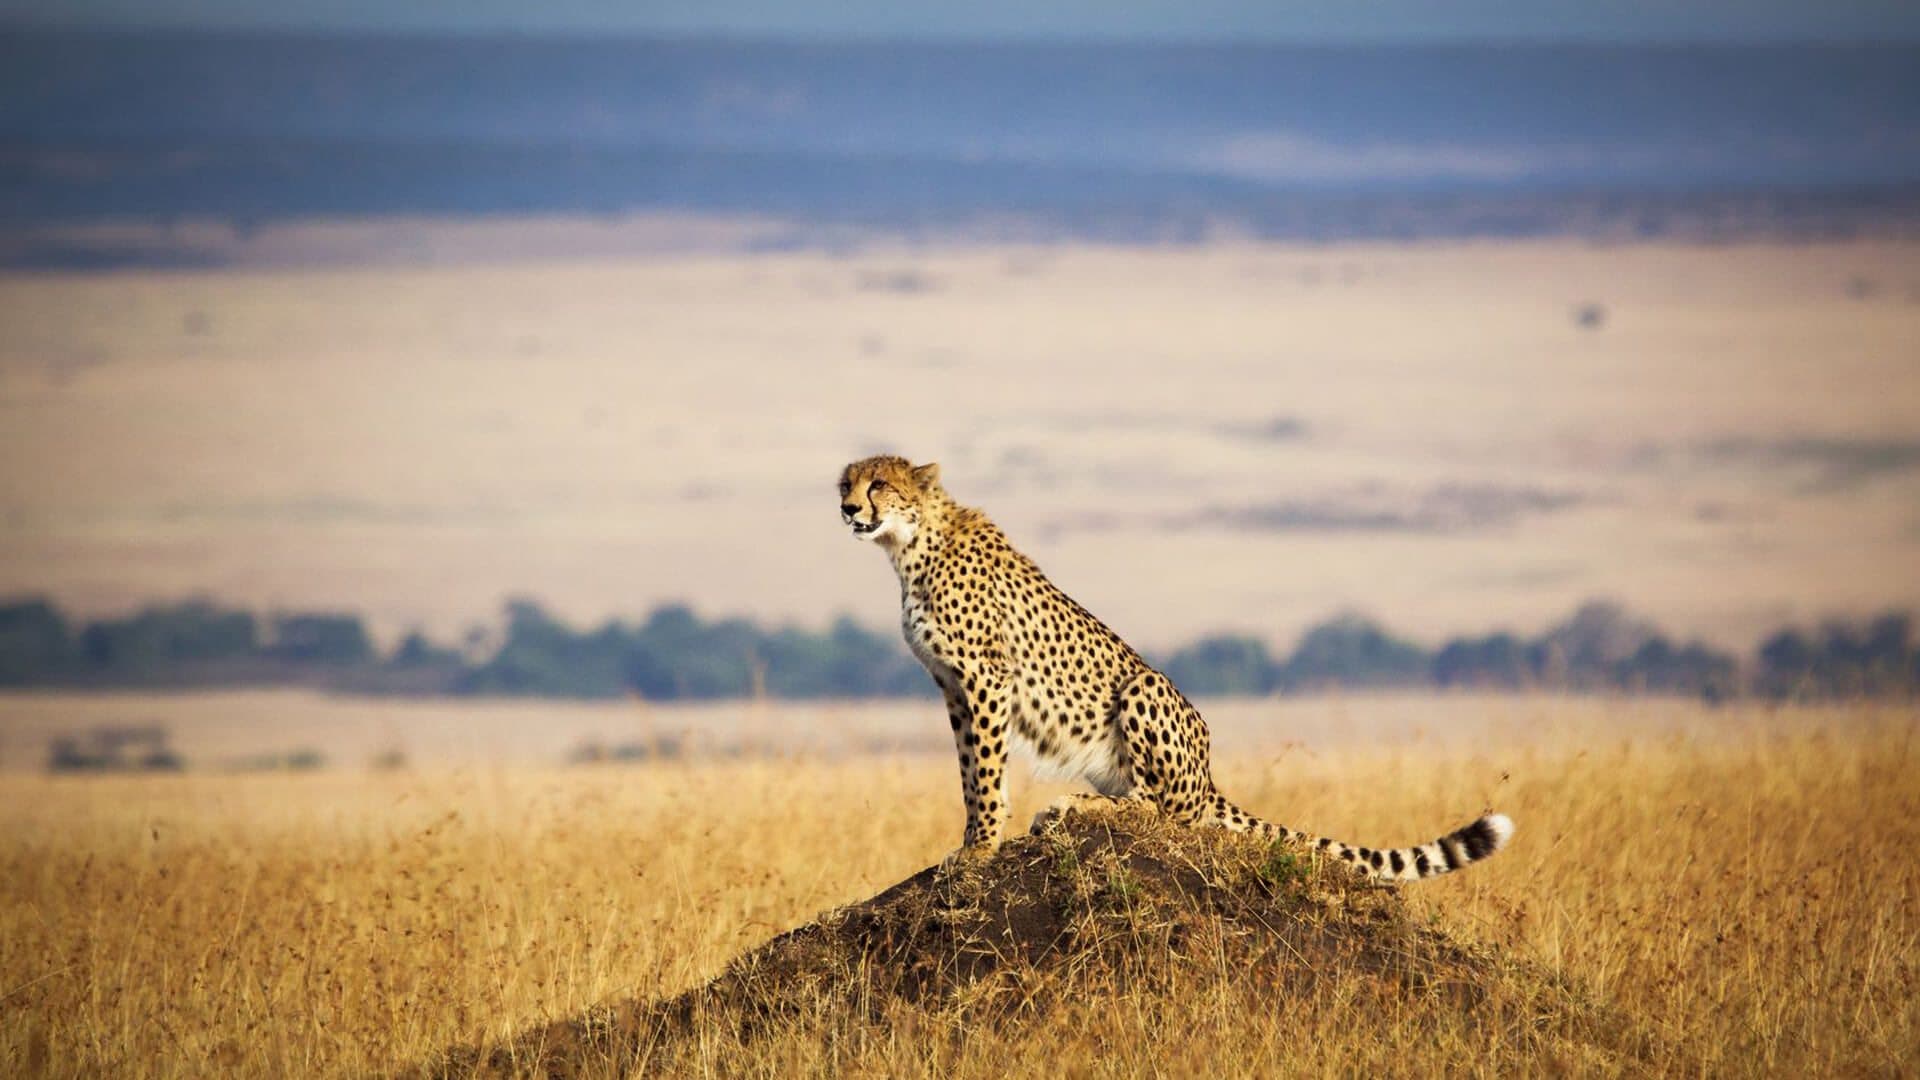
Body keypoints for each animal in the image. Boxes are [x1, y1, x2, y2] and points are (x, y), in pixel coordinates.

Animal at [838, 454, 1513, 883]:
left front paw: (979, 850)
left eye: (880, 484)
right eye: (846, 482)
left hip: (1144, 687)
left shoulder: (985, 678)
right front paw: (972, 840)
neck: (909, 545)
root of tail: (1209, 776)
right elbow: (969, 772)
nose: (847, 509)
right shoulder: (952, 688)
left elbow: (984, 772)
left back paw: (1073, 806)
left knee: (1163, 810)